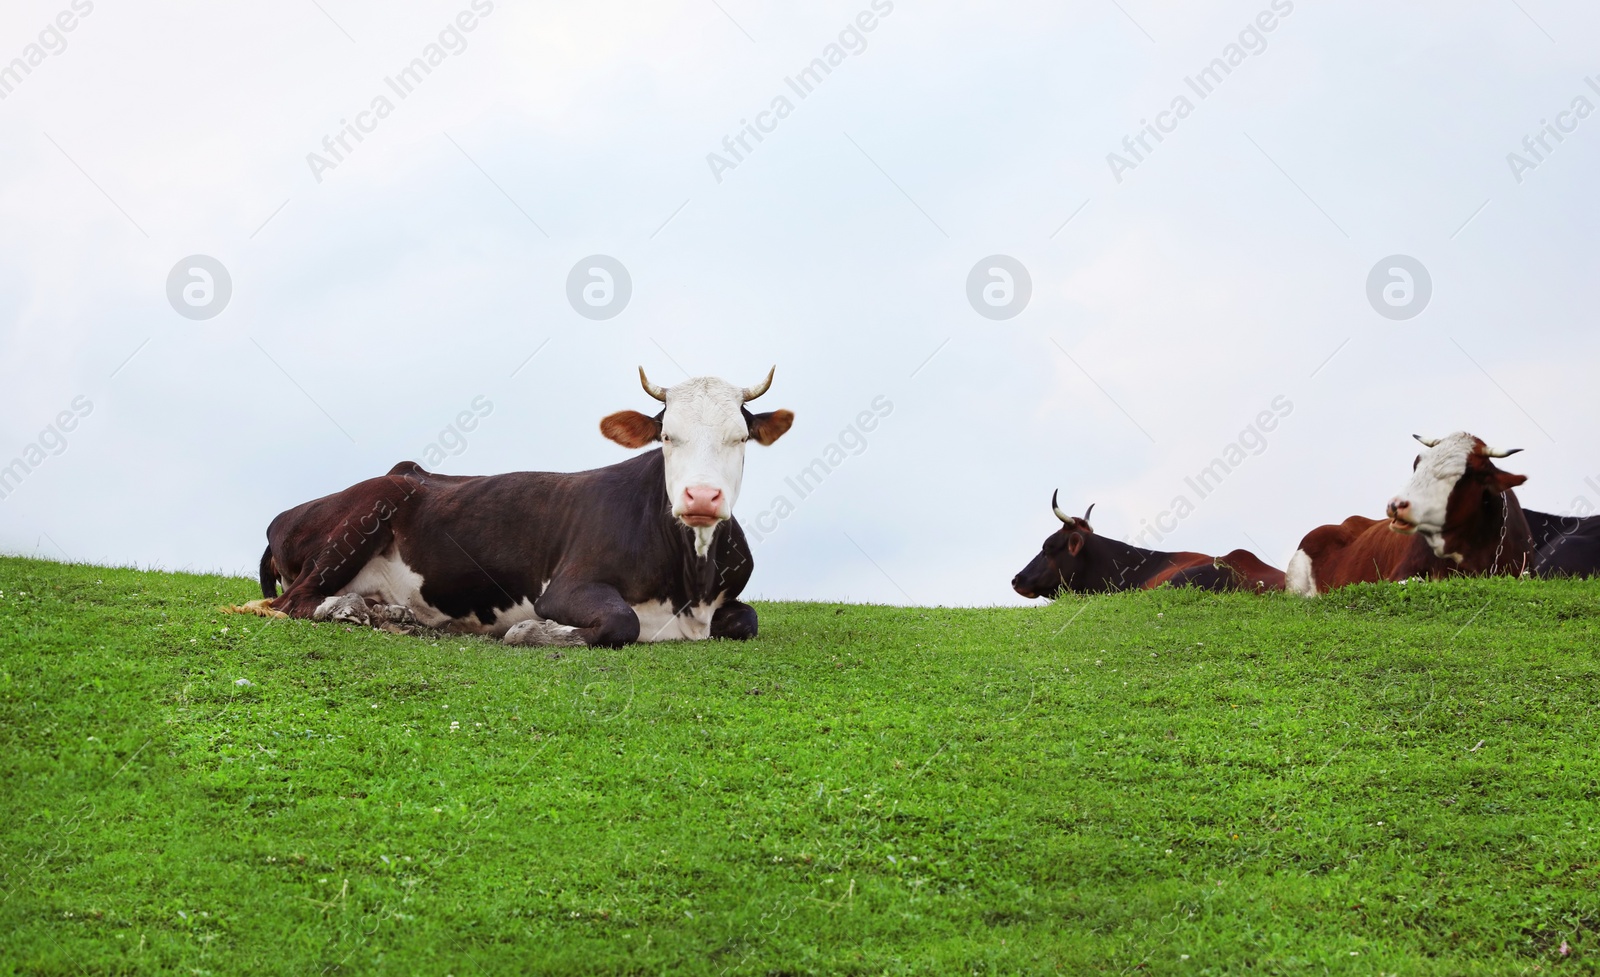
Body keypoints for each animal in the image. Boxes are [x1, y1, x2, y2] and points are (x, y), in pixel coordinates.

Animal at [230, 367, 793, 649]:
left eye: (740, 437)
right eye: (667, 436)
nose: (701, 497)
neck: (689, 587)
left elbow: (747, 620)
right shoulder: (566, 586)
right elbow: (621, 624)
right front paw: (529, 632)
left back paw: (389, 614)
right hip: (372, 505)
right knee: (293, 602)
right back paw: (352, 612)